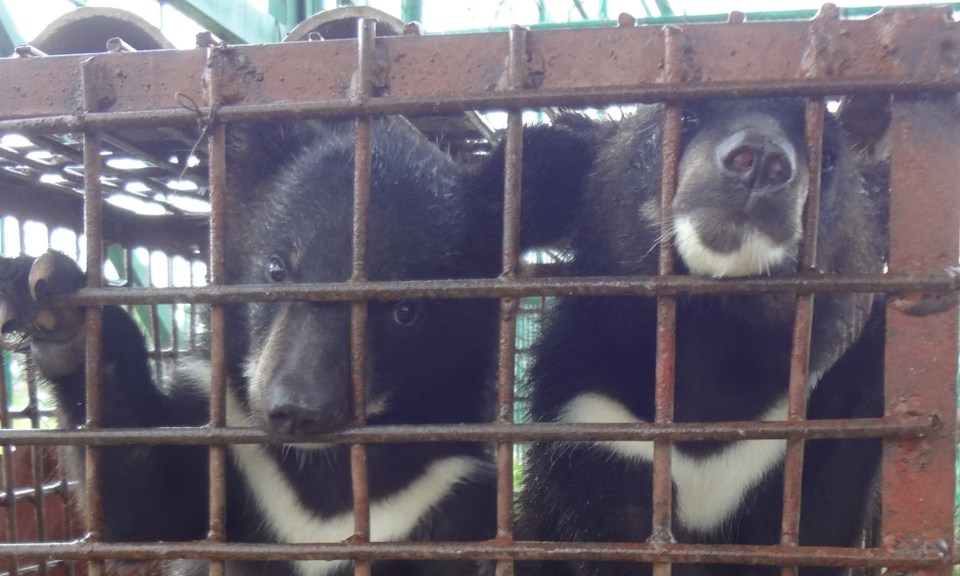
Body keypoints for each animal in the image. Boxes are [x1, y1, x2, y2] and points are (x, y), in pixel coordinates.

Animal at [0, 118, 588, 576]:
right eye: (277, 269)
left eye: (405, 310)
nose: (298, 411)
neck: (322, 466)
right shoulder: (226, 439)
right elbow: (142, 507)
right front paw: (58, 307)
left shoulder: (451, 489)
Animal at [516, 99, 884, 576]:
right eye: (685, 119)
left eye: (827, 159)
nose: (760, 159)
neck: (712, 332)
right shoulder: (595, 424)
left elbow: (817, 530)